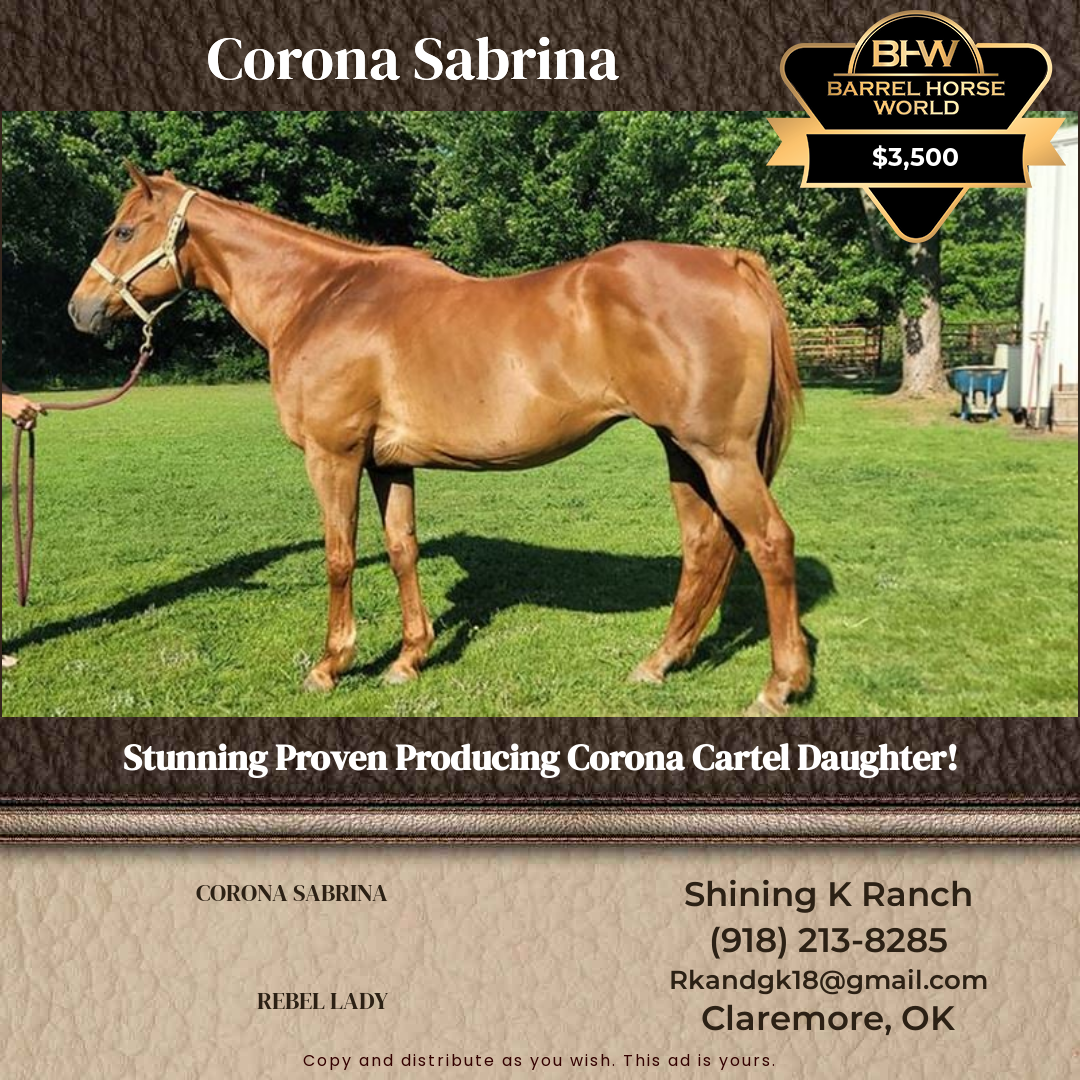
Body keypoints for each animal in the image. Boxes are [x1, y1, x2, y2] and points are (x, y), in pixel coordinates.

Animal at [68, 162, 811, 715]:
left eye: (123, 229)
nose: (79, 310)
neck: (322, 297)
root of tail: (728, 261)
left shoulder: (333, 457)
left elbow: (340, 556)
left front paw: (330, 666)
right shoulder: (387, 463)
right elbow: (402, 550)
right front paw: (408, 658)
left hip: (718, 454)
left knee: (769, 544)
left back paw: (778, 686)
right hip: (683, 453)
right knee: (707, 546)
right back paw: (659, 663)